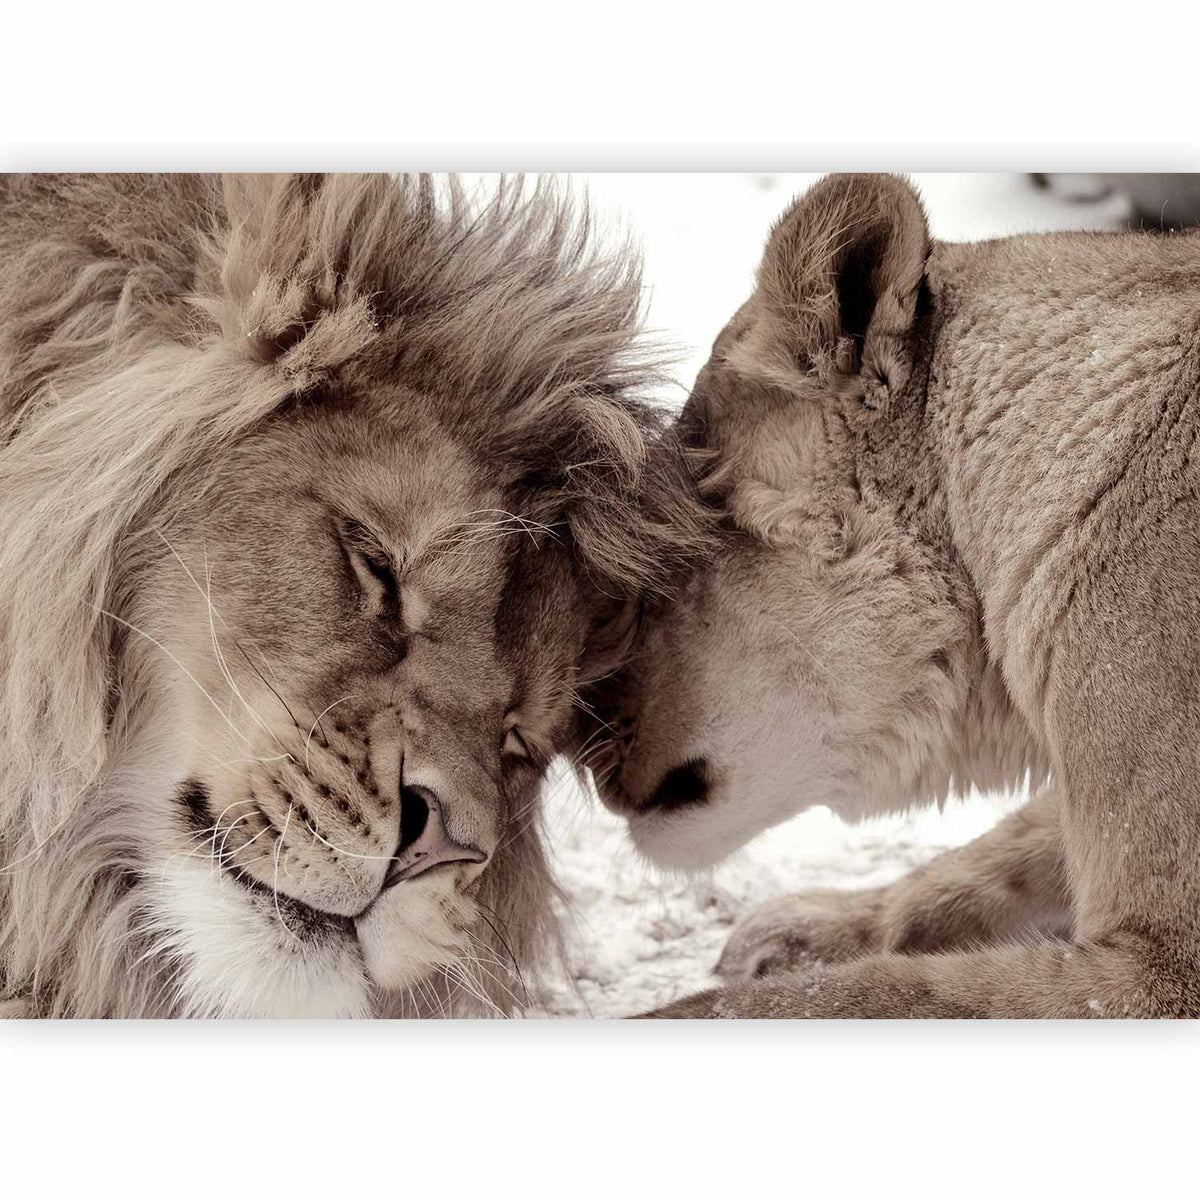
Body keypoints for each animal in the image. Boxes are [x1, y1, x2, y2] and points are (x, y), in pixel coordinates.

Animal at [588, 172, 1200, 1018]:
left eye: (661, 560)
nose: (575, 740)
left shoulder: (1163, 970)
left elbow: (869, 994)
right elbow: (993, 857)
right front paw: (803, 928)